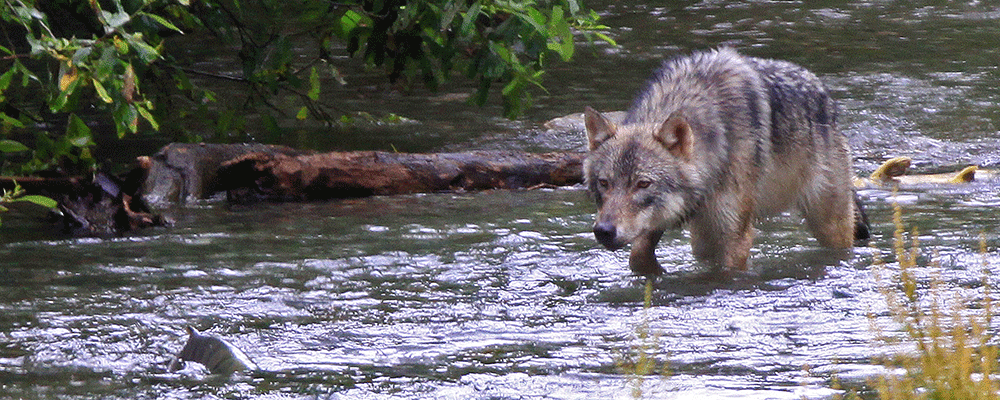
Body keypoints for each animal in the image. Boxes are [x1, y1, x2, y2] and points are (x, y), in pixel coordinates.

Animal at [583, 48, 869, 275]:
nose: (604, 230)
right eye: (604, 183)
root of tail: (827, 99)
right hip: (702, 239)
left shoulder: (735, 235)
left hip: (829, 225)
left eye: (643, 184)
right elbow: (638, 257)